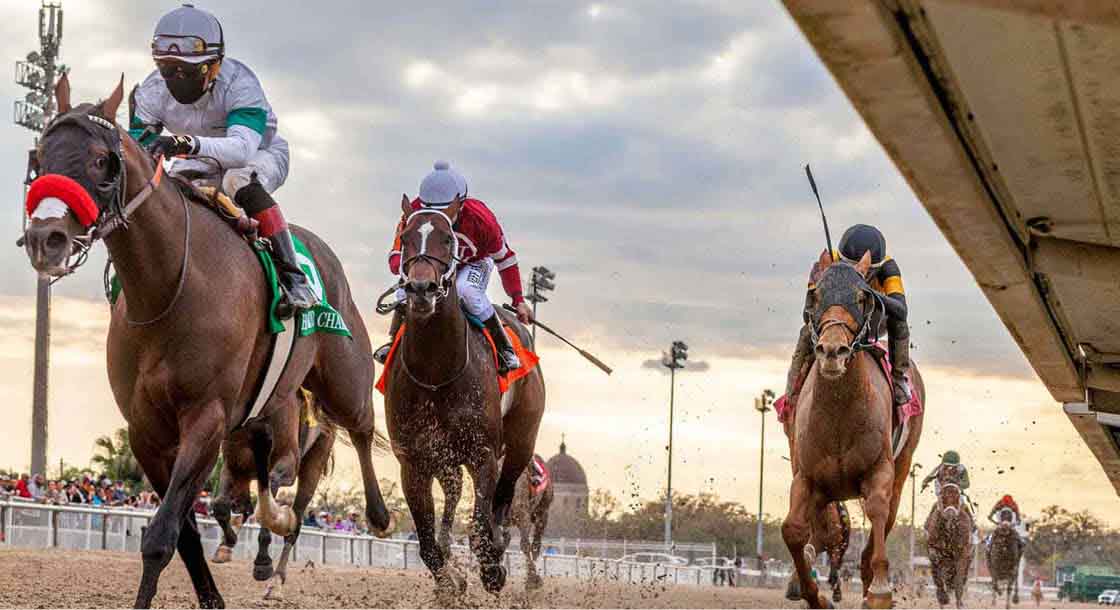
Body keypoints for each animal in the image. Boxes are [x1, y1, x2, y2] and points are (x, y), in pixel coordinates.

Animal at [208, 387, 333, 595]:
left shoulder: (285, 463)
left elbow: (267, 506)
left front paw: (263, 564)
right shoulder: (232, 464)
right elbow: (220, 505)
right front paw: (227, 543)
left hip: (315, 460)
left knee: (295, 522)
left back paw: (276, 580)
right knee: (245, 507)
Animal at [380, 194, 546, 599]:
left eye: (447, 238)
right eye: (406, 237)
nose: (421, 289)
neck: (437, 373)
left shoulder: (483, 453)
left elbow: (481, 526)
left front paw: (491, 569)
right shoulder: (414, 462)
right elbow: (426, 544)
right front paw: (450, 582)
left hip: (521, 439)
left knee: (504, 496)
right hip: (447, 461)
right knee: (455, 499)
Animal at [779, 248, 927, 608]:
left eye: (861, 297)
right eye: (816, 294)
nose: (832, 351)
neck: (838, 417)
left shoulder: (879, 470)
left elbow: (876, 512)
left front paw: (880, 591)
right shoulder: (806, 476)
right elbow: (793, 530)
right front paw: (813, 595)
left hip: (902, 468)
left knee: (881, 523)